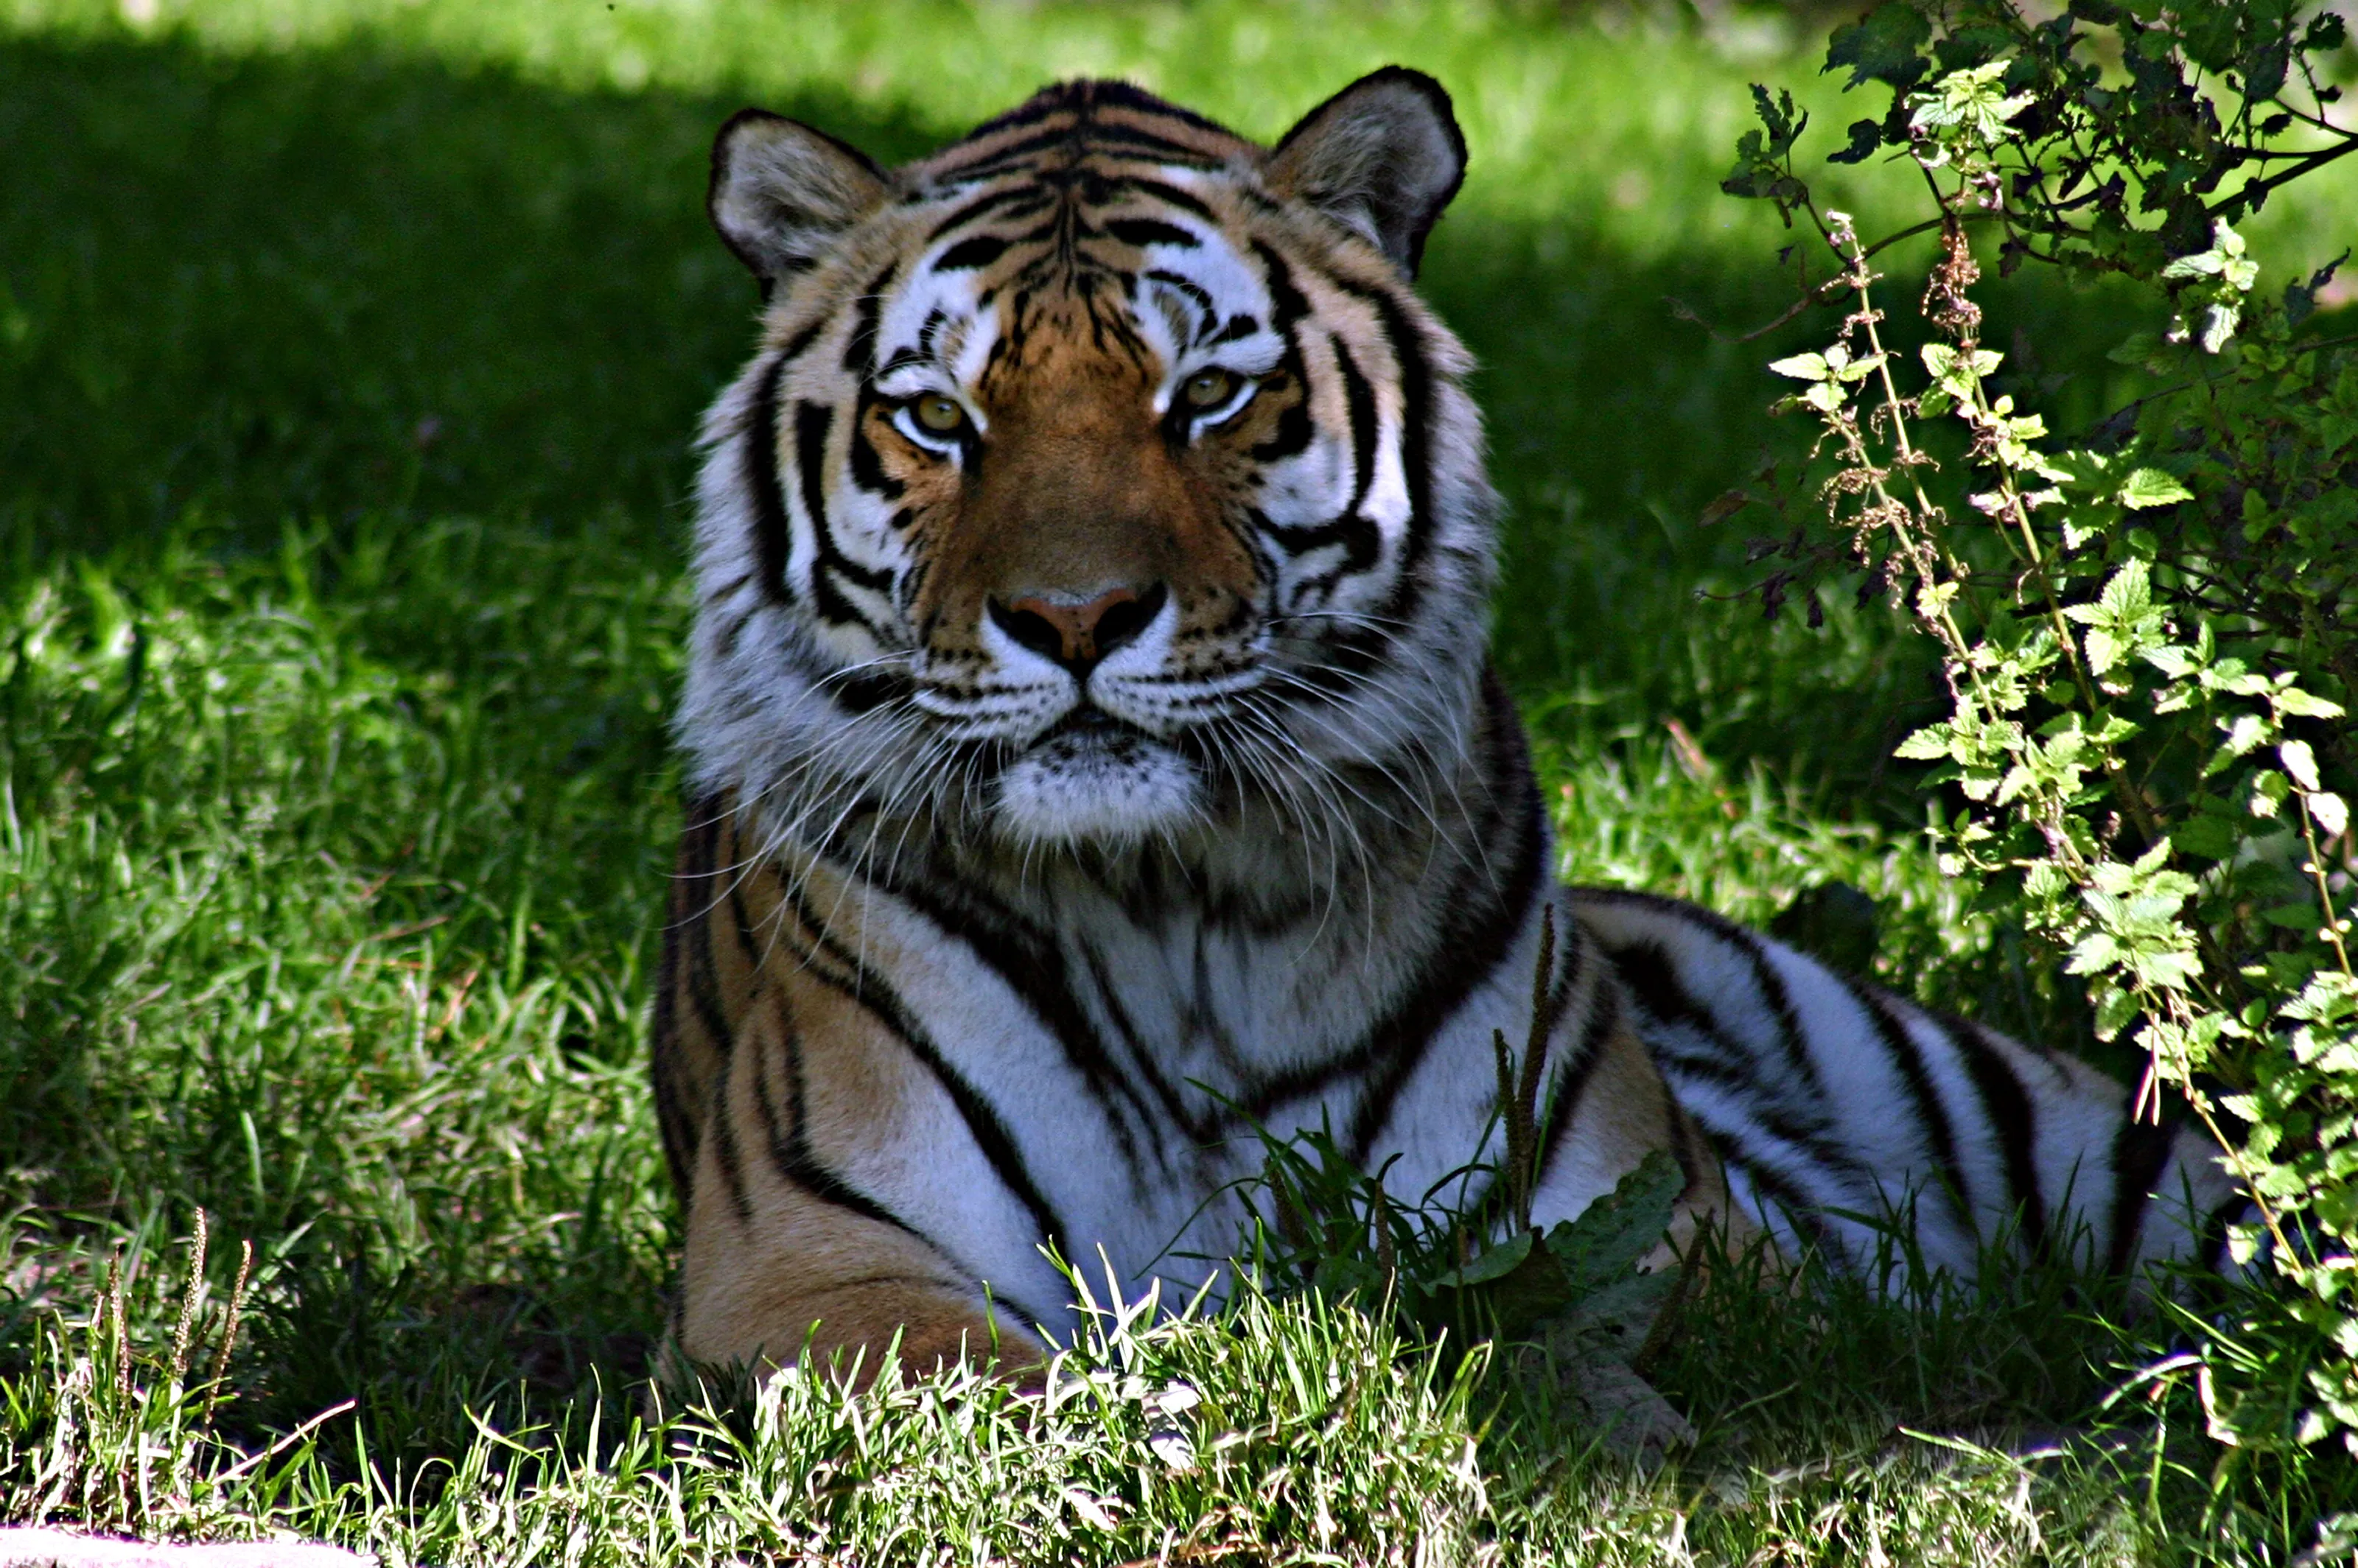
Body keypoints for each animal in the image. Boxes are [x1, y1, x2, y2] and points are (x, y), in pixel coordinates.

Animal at [651, 68, 2248, 1382]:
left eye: (1208, 394)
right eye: (939, 418)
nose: (1075, 615)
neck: (1164, 906)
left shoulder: (1667, 1231)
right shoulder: (805, 1258)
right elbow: (986, 1378)